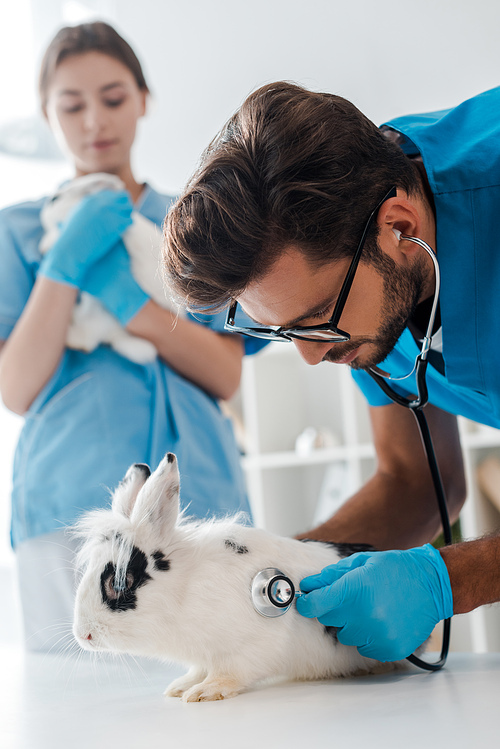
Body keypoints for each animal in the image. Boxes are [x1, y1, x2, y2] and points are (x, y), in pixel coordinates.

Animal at [39, 173, 183, 366]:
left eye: (55, 199)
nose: (42, 213)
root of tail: (118, 335)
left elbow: (58, 235)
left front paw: (45, 245)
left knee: (88, 340)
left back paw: (71, 336)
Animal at [73, 450, 410, 700]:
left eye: (120, 582)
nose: (83, 635)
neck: (185, 590)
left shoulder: (247, 648)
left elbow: (231, 672)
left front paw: (205, 692)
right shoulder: (203, 655)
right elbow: (198, 670)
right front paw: (180, 687)